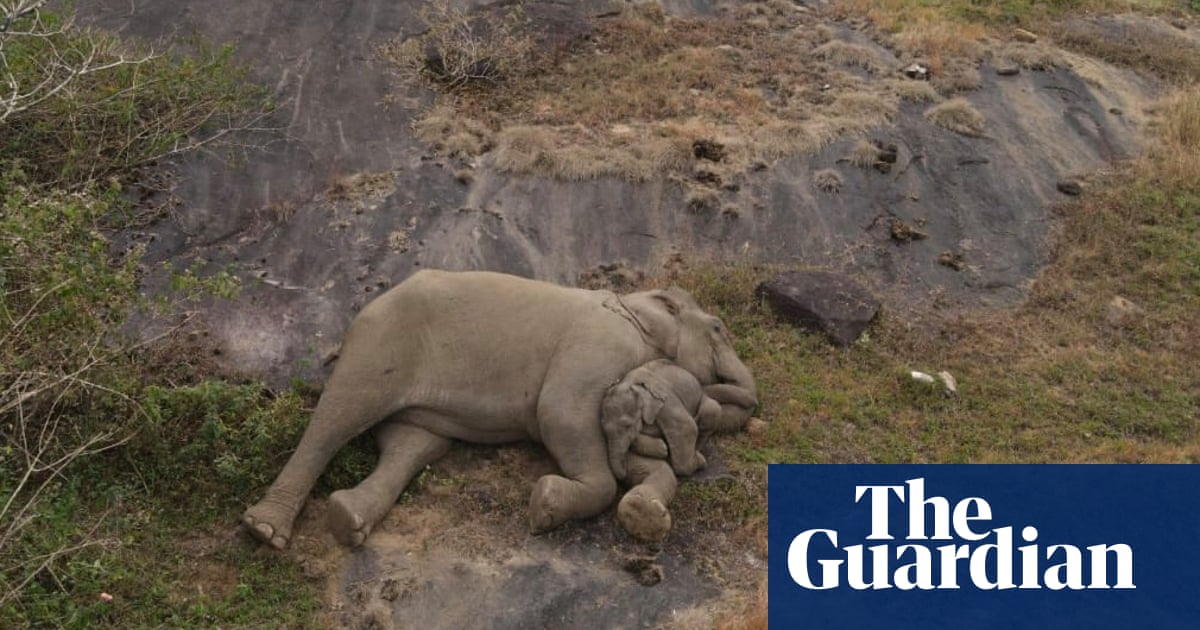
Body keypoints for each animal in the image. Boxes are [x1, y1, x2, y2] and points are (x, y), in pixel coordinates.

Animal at [241, 270, 757, 549]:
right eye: (718, 329)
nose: (701, 461)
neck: (634, 303)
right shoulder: (597, 345)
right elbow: (561, 414)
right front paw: (545, 506)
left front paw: (644, 510)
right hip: (380, 344)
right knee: (337, 418)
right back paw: (266, 531)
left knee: (412, 445)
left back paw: (346, 520)